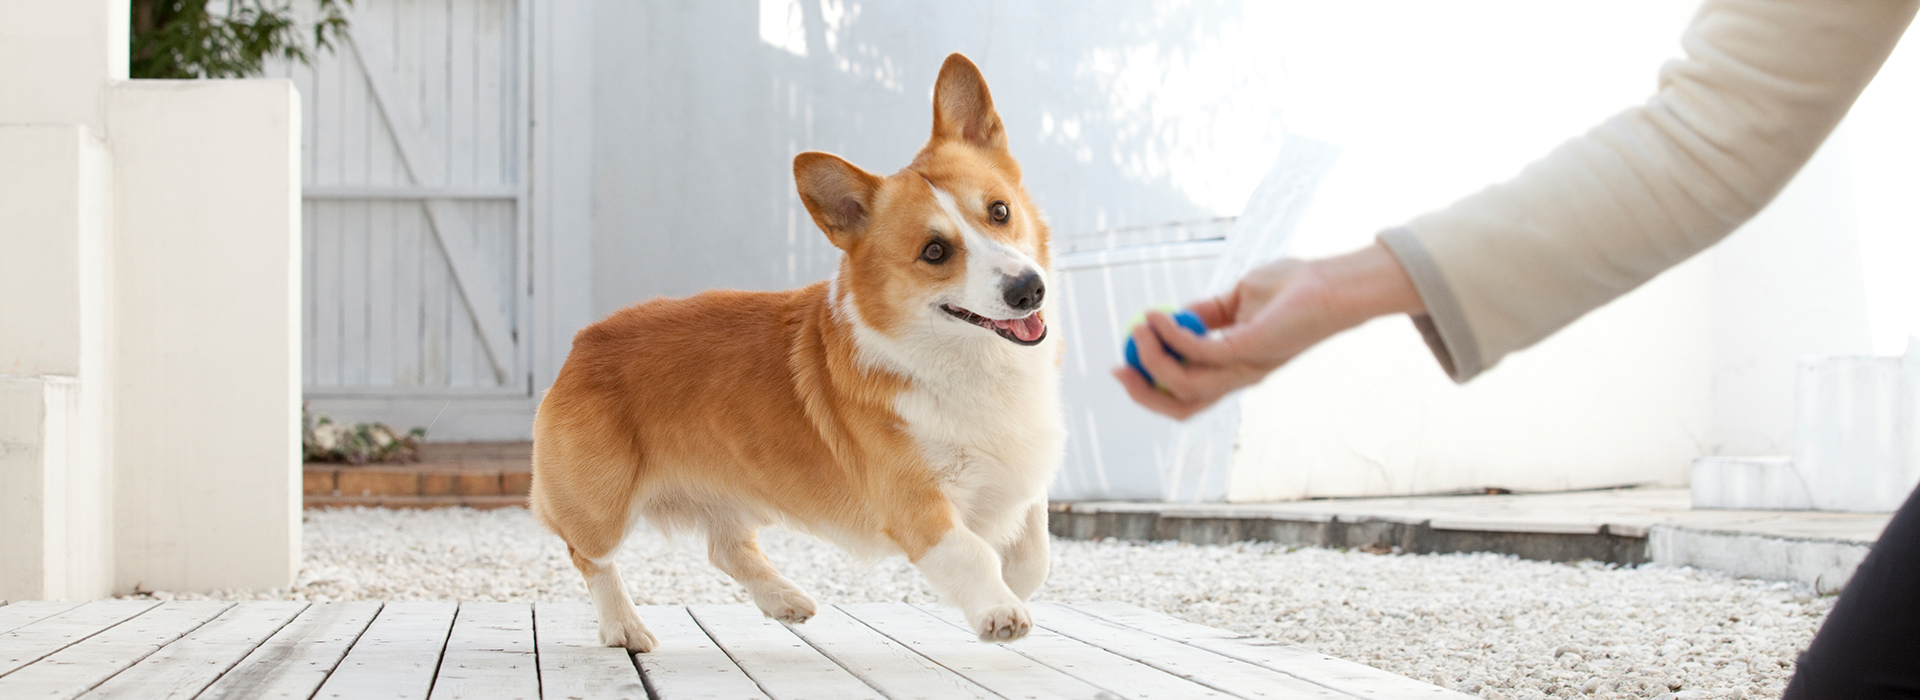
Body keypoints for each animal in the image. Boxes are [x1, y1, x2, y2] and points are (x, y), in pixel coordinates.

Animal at [529, 54, 1067, 648]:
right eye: (934, 251)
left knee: (726, 547)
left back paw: (784, 599)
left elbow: (1034, 556)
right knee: (589, 555)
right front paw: (999, 611)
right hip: (601, 505)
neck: (973, 364)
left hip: (726, 492)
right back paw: (624, 626)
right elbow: (972, 554)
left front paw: (1010, 588)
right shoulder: (916, 504)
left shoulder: (1022, 478)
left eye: (1000, 211)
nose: (1029, 289)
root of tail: (585, 338)